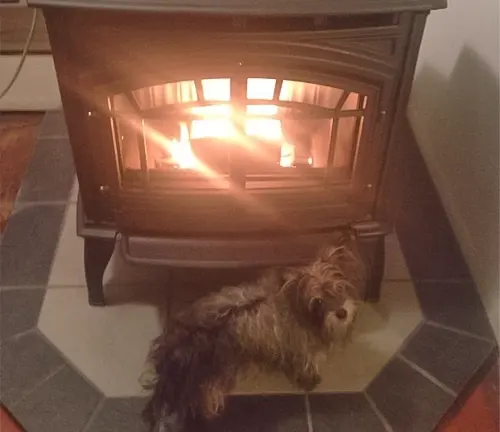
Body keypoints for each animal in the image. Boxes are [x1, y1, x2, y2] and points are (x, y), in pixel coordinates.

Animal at [141, 238, 364, 430]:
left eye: (340, 287)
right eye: (317, 301)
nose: (342, 313)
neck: (295, 308)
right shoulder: (299, 346)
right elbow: (305, 365)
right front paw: (310, 381)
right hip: (210, 378)